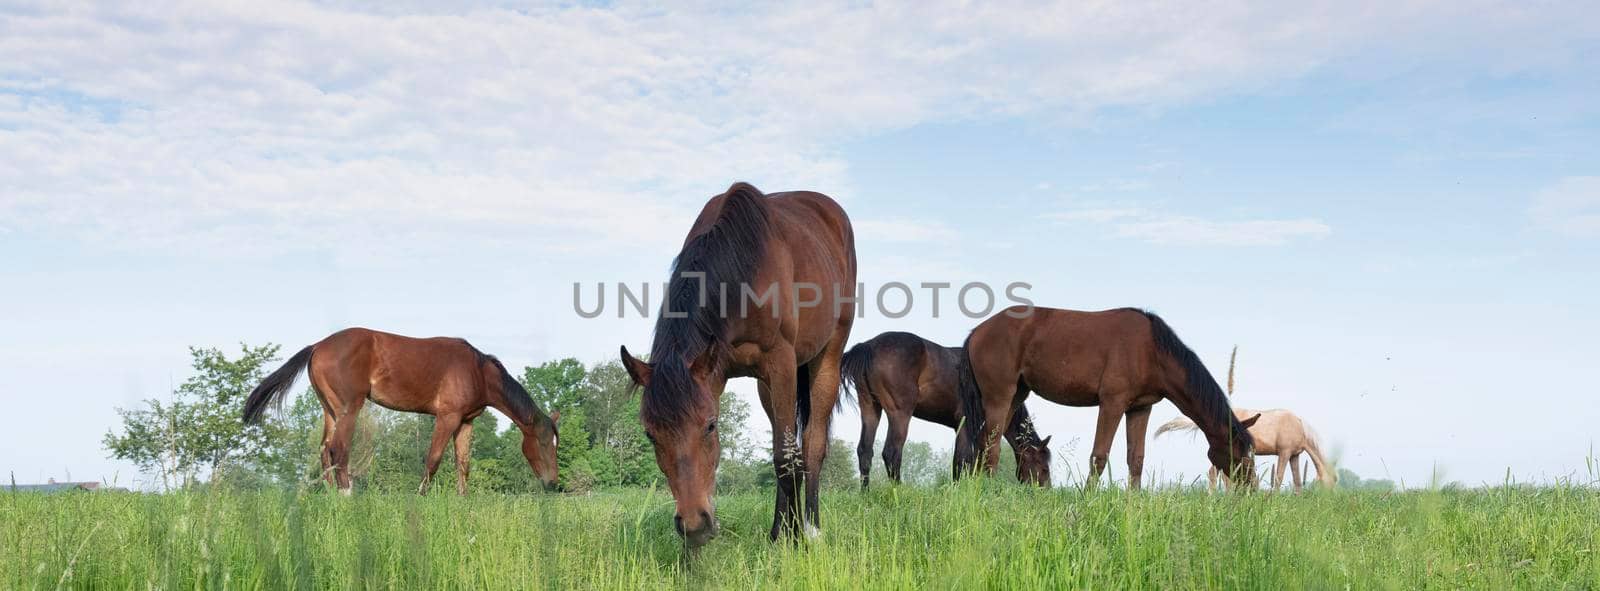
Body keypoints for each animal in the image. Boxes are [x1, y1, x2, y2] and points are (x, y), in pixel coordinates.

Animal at [240, 326, 560, 493]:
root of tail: (318, 346)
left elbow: (463, 465)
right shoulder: (447, 417)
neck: (477, 370)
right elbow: (433, 460)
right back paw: (345, 495)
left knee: (324, 450)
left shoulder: (465, 422)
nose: (553, 483)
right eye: (545, 443)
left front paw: (462, 500)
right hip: (348, 409)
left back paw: (330, 493)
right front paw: (421, 496)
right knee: (339, 450)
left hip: (329, 411)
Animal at [617, 180, 857, 547]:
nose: (694, 524)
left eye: (710, 426)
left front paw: (794, 541)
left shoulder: (781, 362)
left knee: (811, 446)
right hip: (765, 387)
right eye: (650, 434)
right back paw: (778, 531)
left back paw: (810, 529)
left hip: (826, 357)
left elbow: (786, 457)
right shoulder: (719, 373)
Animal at [838, 329, 1049, 486]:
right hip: (899, 413)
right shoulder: (964, 425)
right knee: (891, 453)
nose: (1044, 492)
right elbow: (962, 460)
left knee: (865, 452)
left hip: (870, 408)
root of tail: (869, 346)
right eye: (1044, 467)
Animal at [947, 305, 1260, 486]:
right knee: (991, 448)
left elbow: (1136, 460)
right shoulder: (1112, 403)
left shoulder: (1140, 408)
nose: (1251, 489)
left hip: (1015, 397)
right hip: (999, 397)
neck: (1151, 350)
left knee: (987, 446)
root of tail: (977, 332)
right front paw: (1088, 498)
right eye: (1241, 454)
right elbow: (1098, 456)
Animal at [1158, 405, 1331, 493]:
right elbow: (1278, 478)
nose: (1327, 503)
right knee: (1217, 474)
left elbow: (1297, 481)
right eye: (1330, 483)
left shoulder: (1294, 455)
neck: (1299, 426)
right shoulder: (1284, 452)